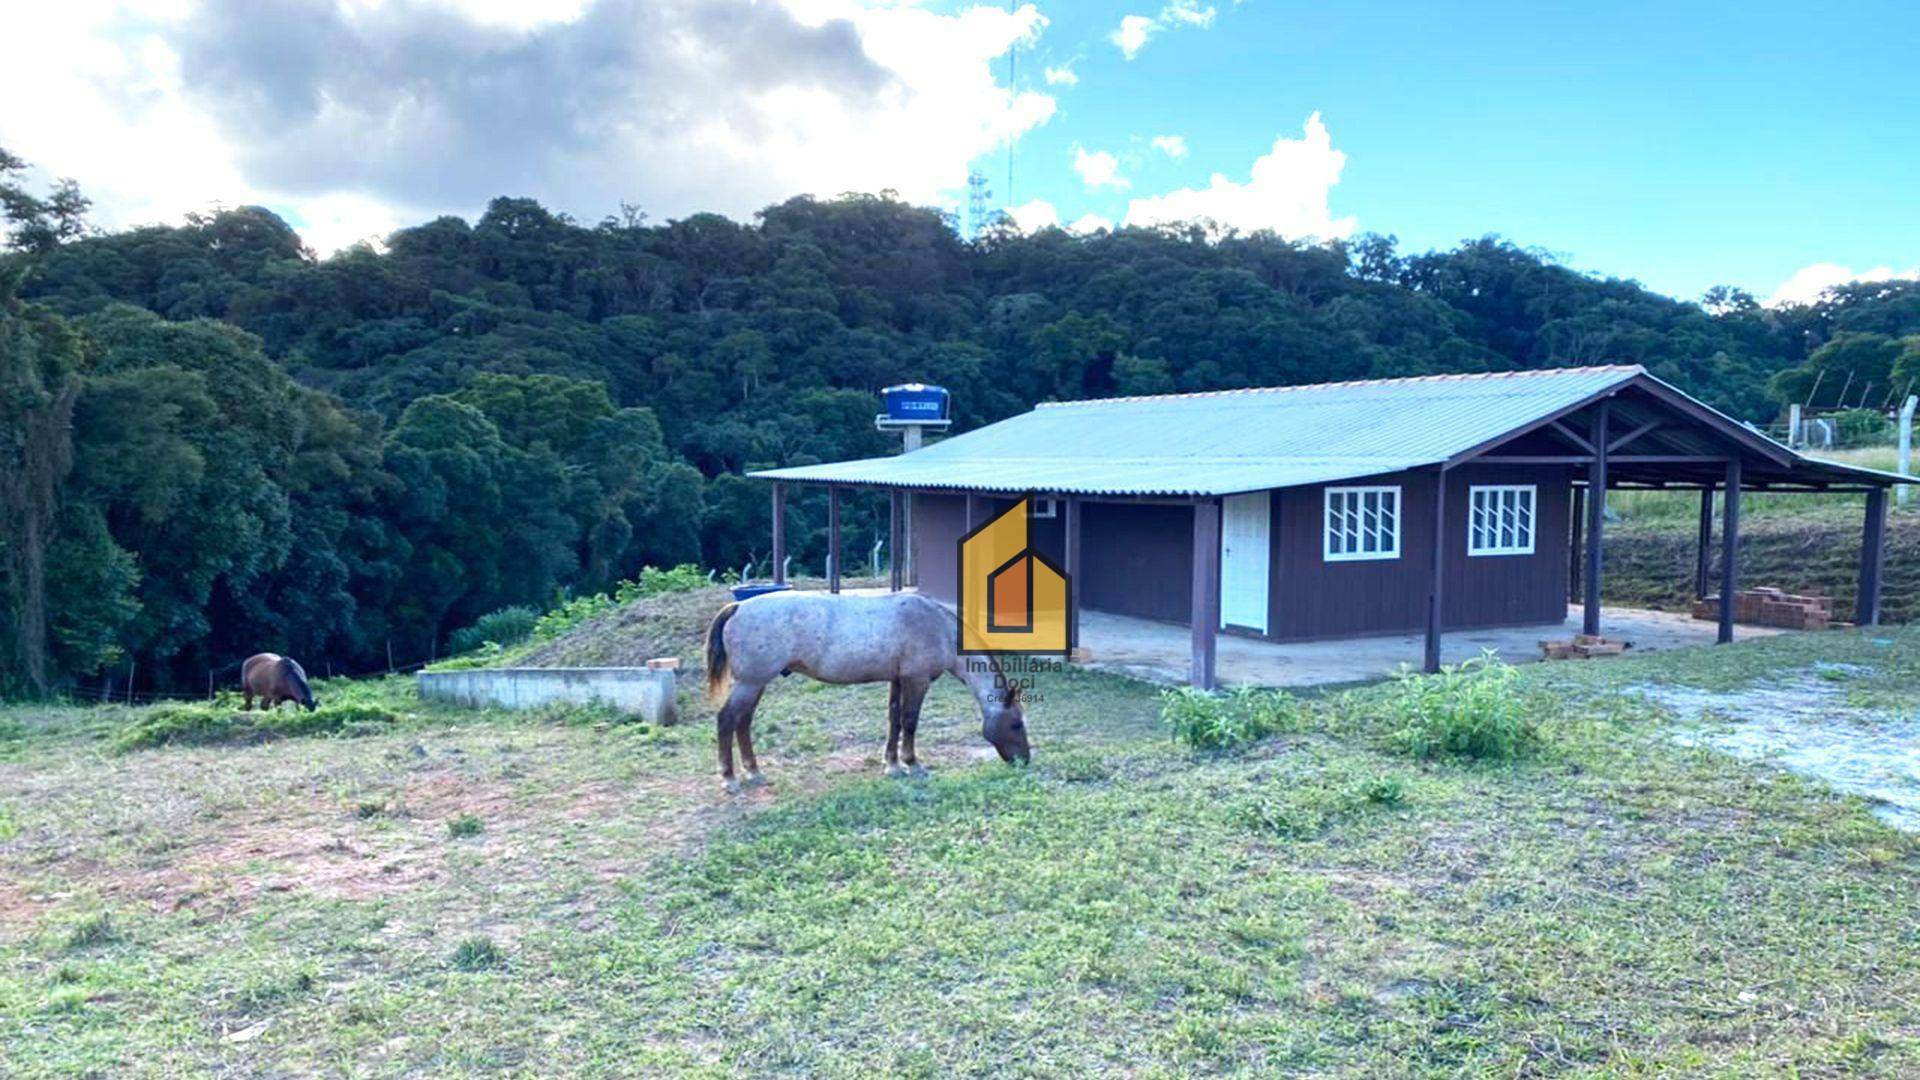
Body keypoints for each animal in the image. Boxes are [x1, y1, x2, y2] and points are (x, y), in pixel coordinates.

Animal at [706, 588, 1036, 791]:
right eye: (1016, 724)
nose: (1024, 761)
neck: (938, 627)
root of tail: (738, 607)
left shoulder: (898, 680)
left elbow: (894, 721)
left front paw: (892, 765)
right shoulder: (916, 681)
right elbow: (909, 723)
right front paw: (913, 765)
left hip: (755, 684)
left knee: (743, 723)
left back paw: (753, 771)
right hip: (751, 683)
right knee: (727, 720)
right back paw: (730, 778)